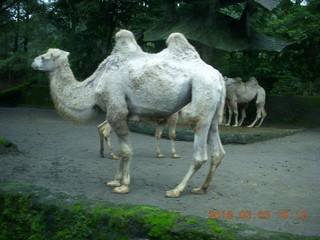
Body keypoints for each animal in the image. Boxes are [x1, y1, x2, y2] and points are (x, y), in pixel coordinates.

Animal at [30, 29, 225, 198]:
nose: (33, 62)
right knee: (218, 151)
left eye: (44, 56)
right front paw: (116, 181)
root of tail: (219, 76)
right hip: (214, 112)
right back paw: (202, 188)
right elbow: (122, 149)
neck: (95, 84)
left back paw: (176, 190)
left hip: (202, 93)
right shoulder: (121, 114)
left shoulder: (116, 110)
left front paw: (123, 186)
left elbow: (126, 150)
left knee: (200, 152)